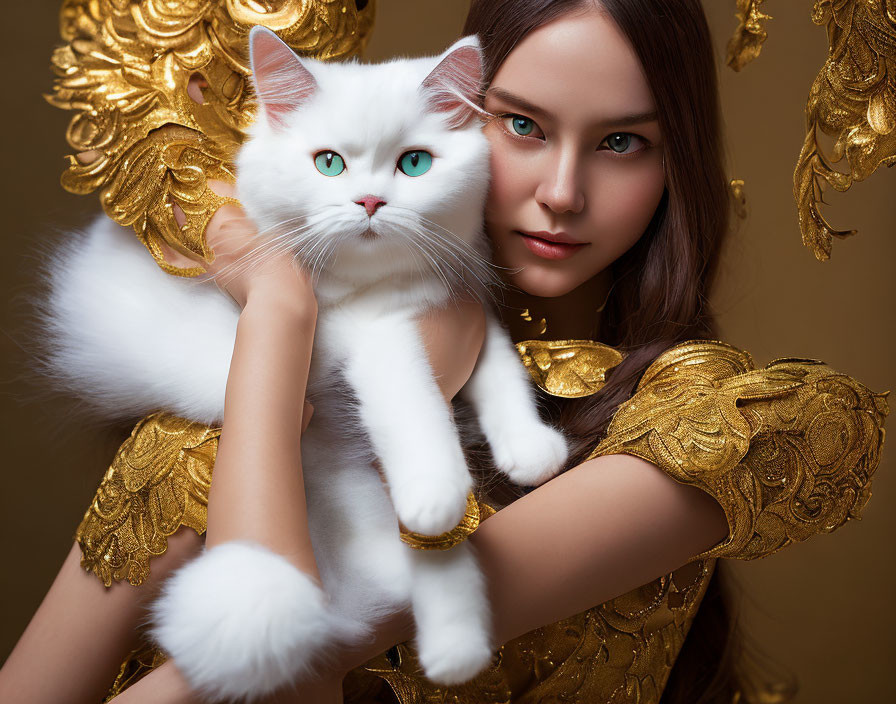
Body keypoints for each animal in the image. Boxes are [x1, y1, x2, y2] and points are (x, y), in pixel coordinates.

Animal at [42, 26, 568, 700]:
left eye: (415, 164)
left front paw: (529, 447)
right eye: (329, 163)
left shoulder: (461, 302)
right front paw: (437, 484)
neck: (386, 290)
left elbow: (500, 370)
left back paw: (455, 649)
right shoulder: (359, 333)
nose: (369, 201)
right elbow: (410, 392)